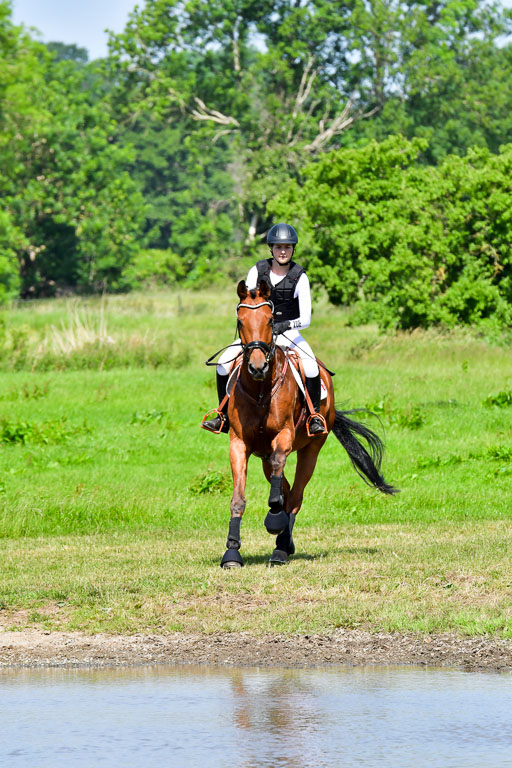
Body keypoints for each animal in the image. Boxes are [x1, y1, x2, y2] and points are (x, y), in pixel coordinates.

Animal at [216, 279, 397, 568]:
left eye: (270, 320)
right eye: (240, 320)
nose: (257, 367)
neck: (260, 391)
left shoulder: (284, 438)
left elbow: (281, 489)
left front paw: (274, 521)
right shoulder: (239, 443)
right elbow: (239, 499)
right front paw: (232, 552)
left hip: (311, 450)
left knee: (295, 497)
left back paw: (281, 547)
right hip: (264, 455)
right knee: (285, 488)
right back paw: (285, 541)